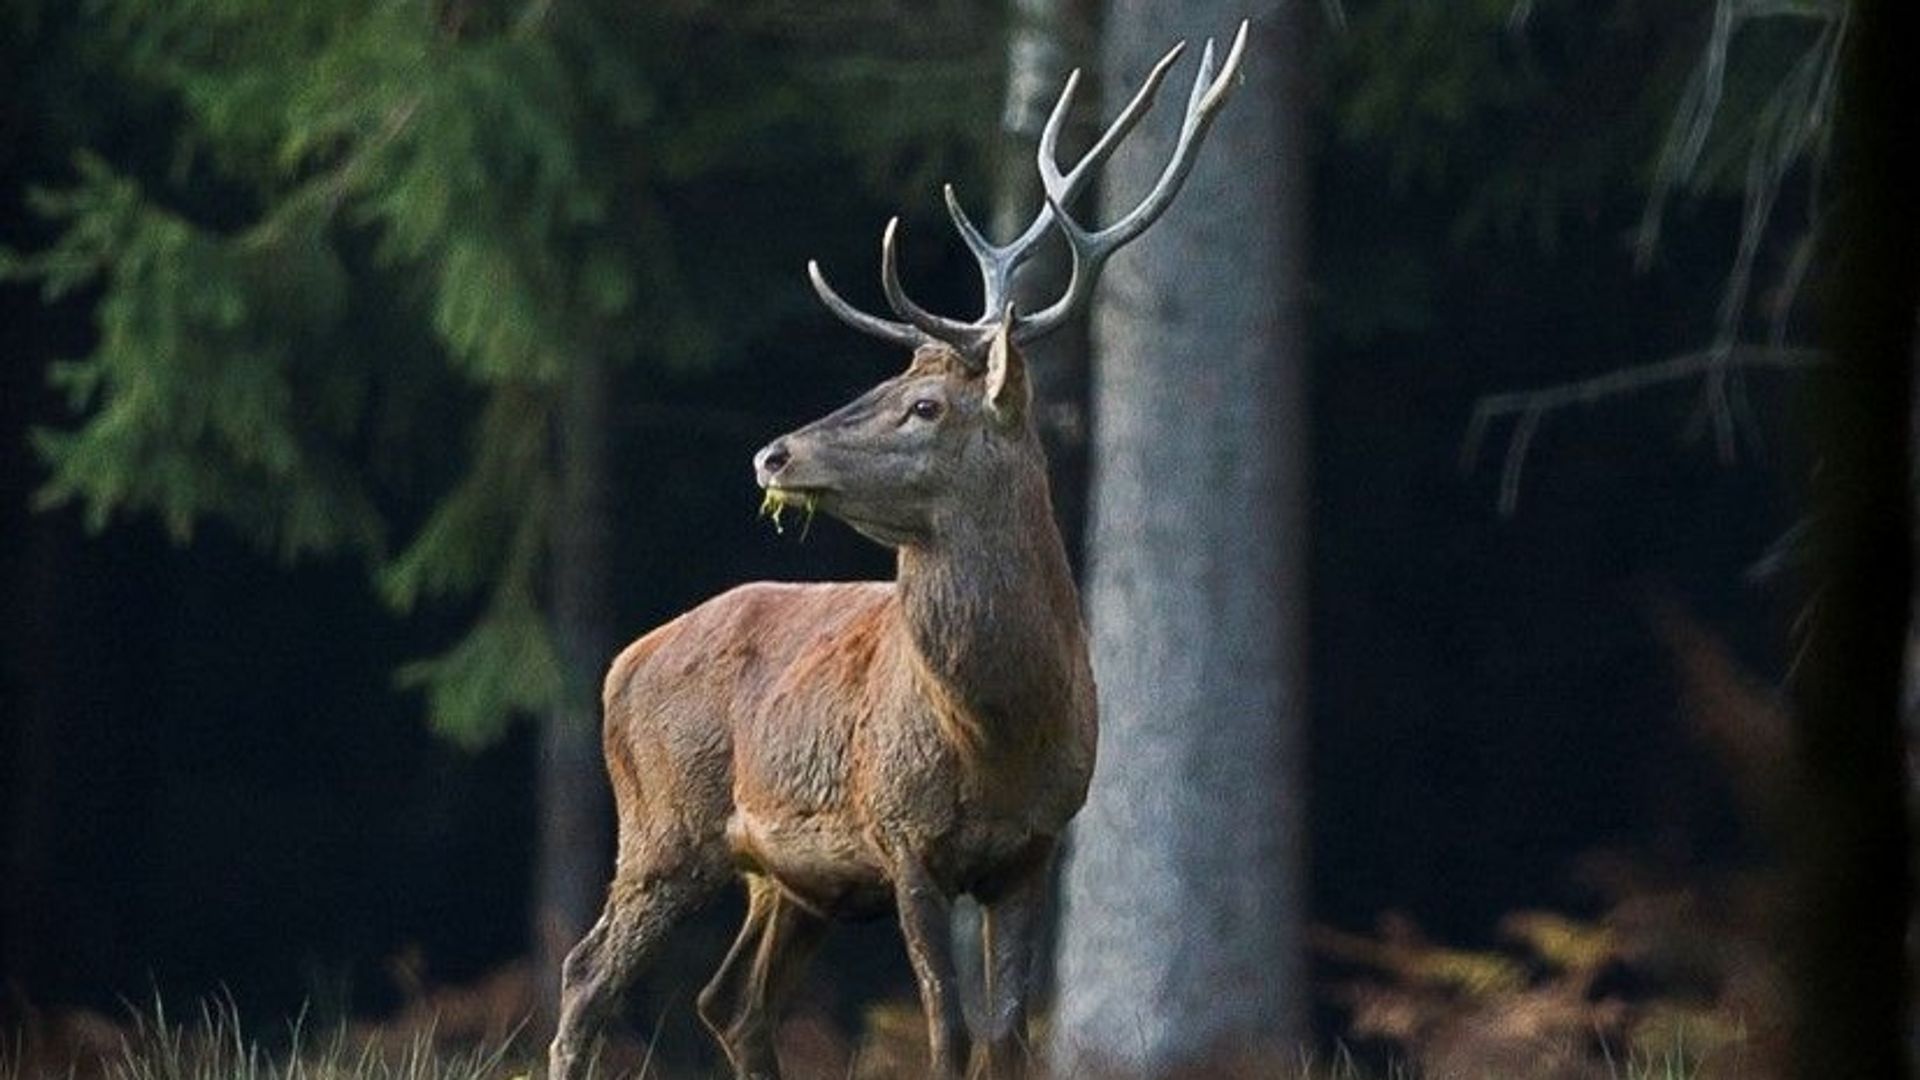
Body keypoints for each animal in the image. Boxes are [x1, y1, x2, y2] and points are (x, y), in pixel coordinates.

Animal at [548, 21, 1247, 1080]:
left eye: (923, 404)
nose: (774, 452)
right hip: (665, 824)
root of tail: (624, 660)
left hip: (788, 878)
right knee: (588, 975)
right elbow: (946, 1030)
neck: (999, 734)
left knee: (729, 1000)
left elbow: (1005, 1037)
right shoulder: (902, 832)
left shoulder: (1037, 846)